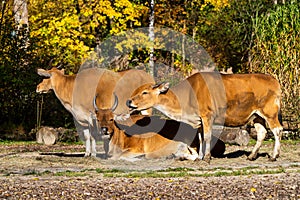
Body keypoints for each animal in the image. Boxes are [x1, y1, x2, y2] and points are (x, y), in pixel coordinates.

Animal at [127, 72, 284, 162]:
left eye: (145, 92)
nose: (129, 101)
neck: (188, 94)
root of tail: (274, 81)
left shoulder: (207, 116)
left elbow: (207, 137)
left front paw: (207, 157)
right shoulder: (199, 120)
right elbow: (201, 138)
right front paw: (200, 157)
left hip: (270, 113)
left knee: (277, 130)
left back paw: (274, 156)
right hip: (256, 115)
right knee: (262, 133)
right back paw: (251, 156)